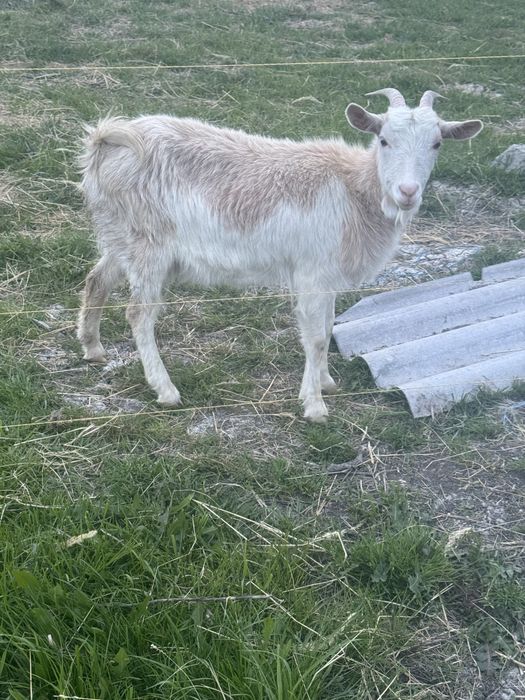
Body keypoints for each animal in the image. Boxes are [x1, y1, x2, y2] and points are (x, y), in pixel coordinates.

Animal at [78, 88, 483, 422]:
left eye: (437, 144)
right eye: (383, 140)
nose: (408, 191)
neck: (353, 189)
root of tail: (107, 140)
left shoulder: (327, 274)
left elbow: (328, 326)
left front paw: (326, 381)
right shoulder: (312, 271)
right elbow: (315, 336)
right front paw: (315, 406)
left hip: (121, 237)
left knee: (96, 280)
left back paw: (93, 349)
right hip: (149, 246)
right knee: (138, 314)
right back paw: (166, 390)